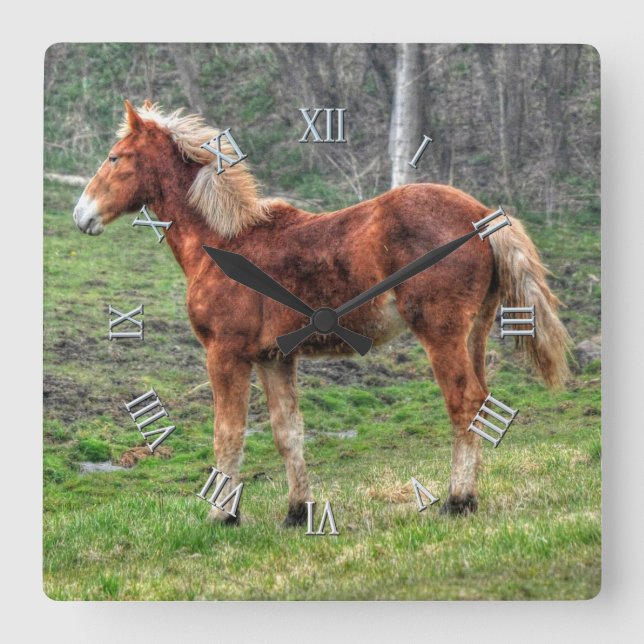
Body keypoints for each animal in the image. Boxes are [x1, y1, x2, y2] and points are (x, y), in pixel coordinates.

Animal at [73, 100, 571, 525]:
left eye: (115, 158)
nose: (81, 216)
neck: (223, 242)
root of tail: (483, 218)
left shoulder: (225, 354)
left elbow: (228, 433)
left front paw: (221, 515)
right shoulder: (274, 358)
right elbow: (287, 433)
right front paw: (297, 513)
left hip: (442, 334)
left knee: (463, 404)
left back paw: (458, 501)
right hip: (474, 333)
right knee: (481, 405)